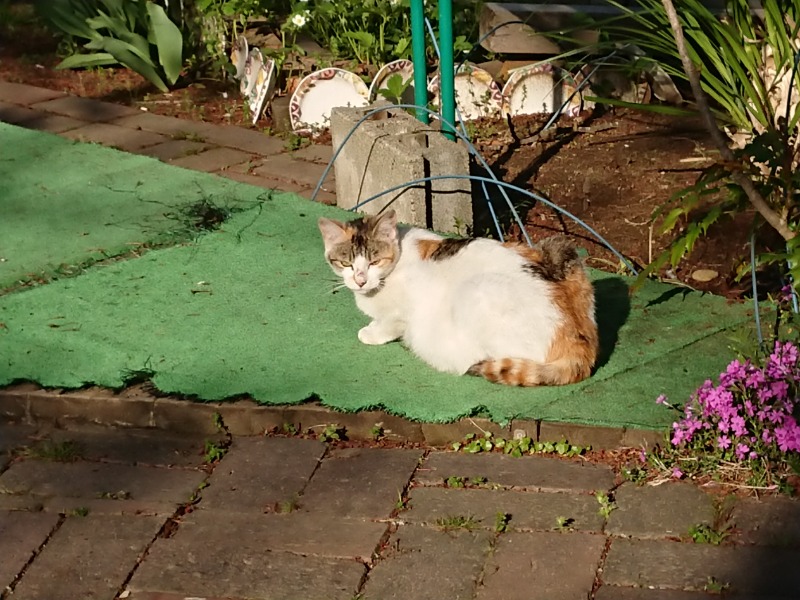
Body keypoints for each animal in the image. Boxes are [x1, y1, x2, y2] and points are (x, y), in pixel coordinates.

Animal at [316, 211, 596, 386]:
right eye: (346, 263)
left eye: (374, 261)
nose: (360, 280)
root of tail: (582, 345)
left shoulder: (406, 309)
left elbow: (391, 323)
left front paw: (373, 333)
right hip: (561, 248)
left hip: (475, 290)